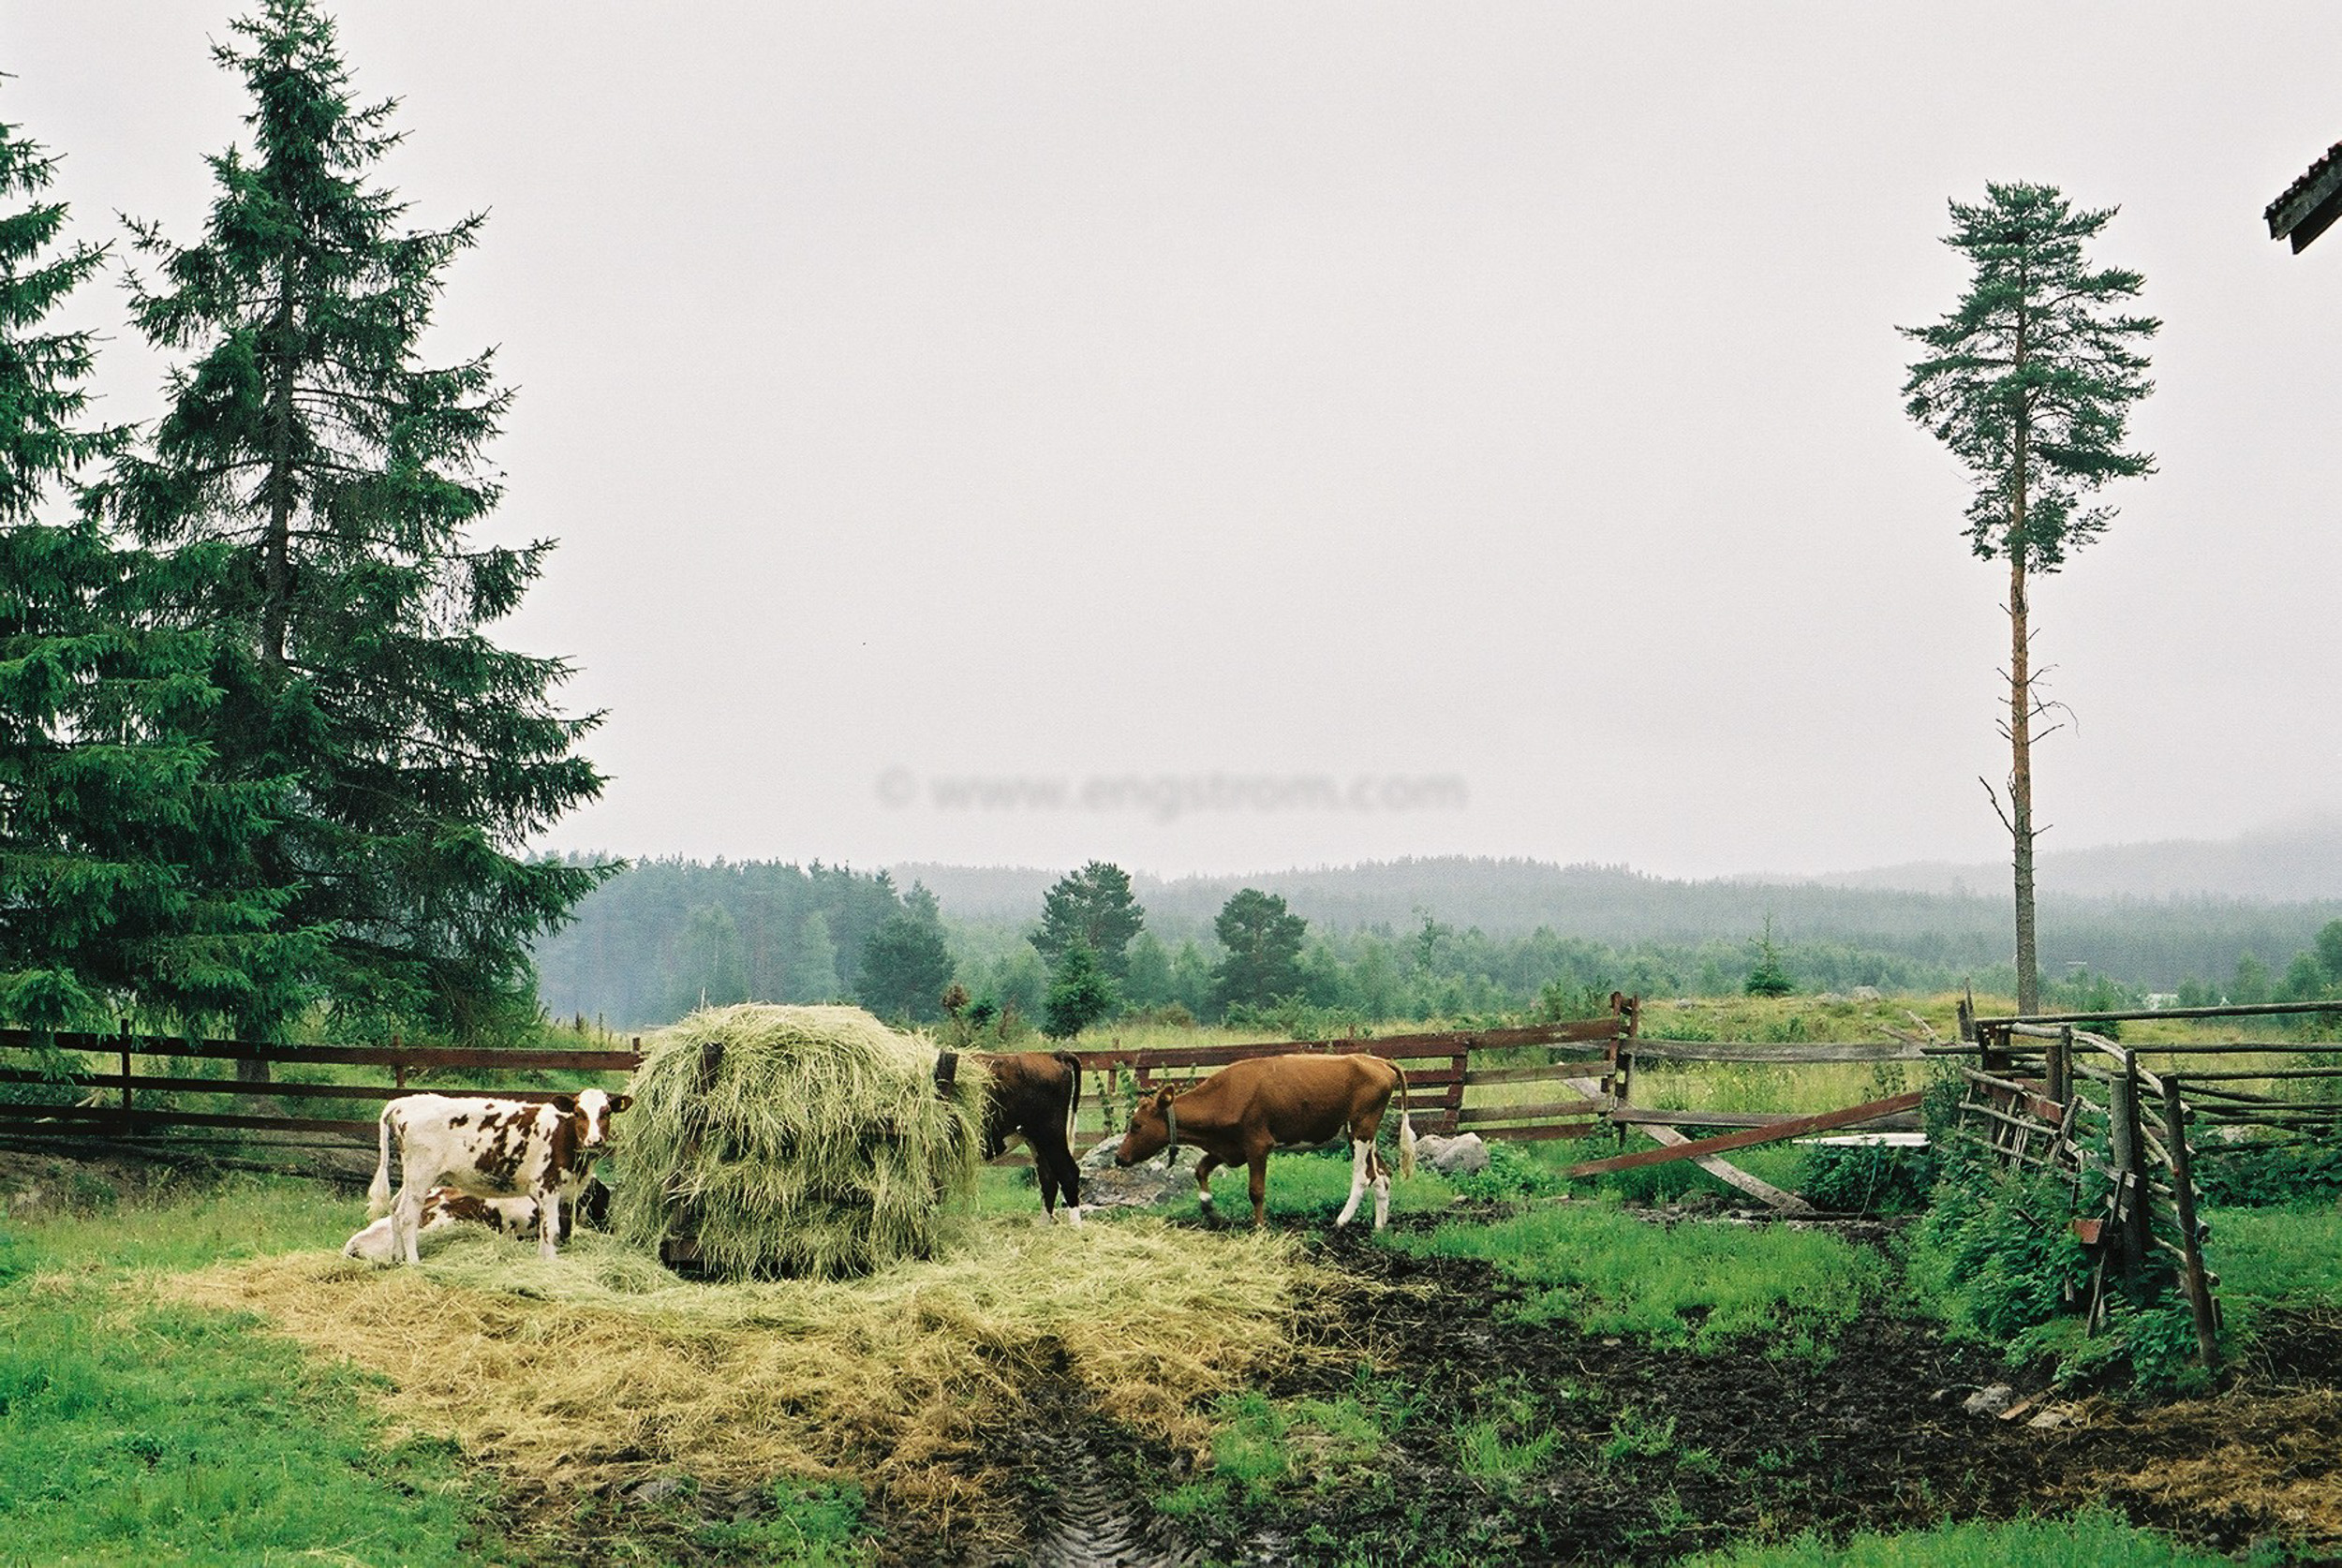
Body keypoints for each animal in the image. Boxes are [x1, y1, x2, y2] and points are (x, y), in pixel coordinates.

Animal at [363, 1095, 628, 1264]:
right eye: (579, 1113)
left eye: (606, 1112)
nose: (595, 1140)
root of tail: (404, 1102)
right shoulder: (547, 1187)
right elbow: (553, 1231)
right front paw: (551, 1266)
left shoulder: (561, 1194)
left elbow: (550, 1231)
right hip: (422, 1173)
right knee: (407, 1216)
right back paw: (414, 1262)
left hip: (414, 1177)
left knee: (395, 1207)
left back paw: (397, 1258)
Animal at [979, 1058, 1087, 1226]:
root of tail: (1054, 1056)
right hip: (1037, 1141)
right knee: (1048, 1178)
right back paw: (1042, 1226)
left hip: (1051, 1135)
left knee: (1068, 1173)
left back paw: (1075, 1227)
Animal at [1110, 1048, 1415, 1235]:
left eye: (1136, 1126)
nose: (1119, 1157)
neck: (1226, 1094)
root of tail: (1378, 1061)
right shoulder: (1230, 1147)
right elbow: (1200, 1170)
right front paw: (1210, 1211)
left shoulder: (1257, 1145)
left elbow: (1256, 1190)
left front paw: (1259, 1227)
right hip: (1360, 1134)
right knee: (1381, 1175)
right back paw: (1378, 1227)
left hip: (1361, 1129)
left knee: (1364, 1177)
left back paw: (1340, 1221)